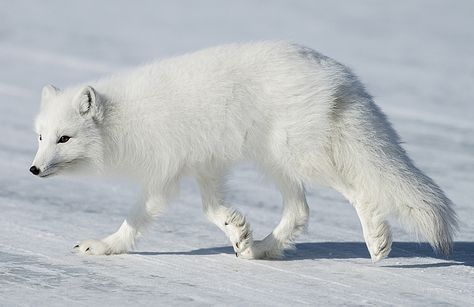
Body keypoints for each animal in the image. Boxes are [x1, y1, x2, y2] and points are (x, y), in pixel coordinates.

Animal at [31, 41, 458, 262]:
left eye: (64, 139)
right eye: (40, 137)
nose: (33, 170)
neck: (124, 119)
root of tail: (341, 76)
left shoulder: (164, 173)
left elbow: (136, 218)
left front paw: (106, 246)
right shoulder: (203, 163)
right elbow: (211, 208)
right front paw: (237, 230)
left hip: (300, 155)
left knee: (360, 192)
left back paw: (376, 240)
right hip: (276, 161)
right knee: (301, 211)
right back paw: (263, 248)